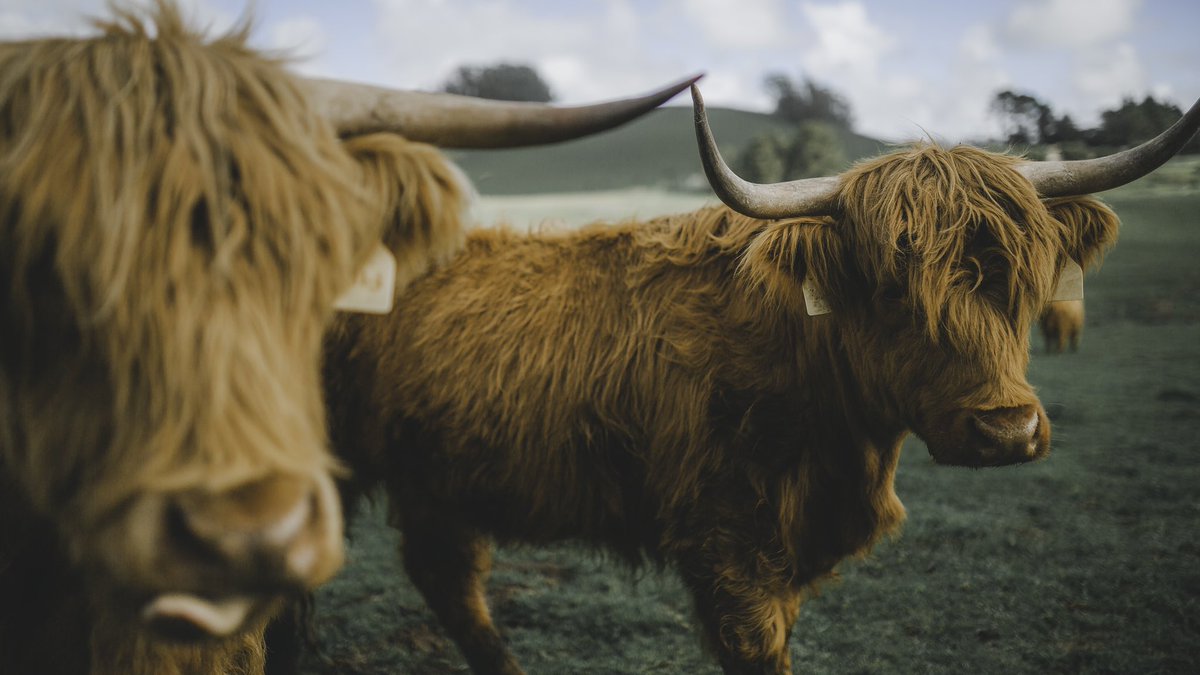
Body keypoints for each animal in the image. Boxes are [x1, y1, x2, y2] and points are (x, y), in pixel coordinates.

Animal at [311, 85, 1200, 674]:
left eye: (1022, 281)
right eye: (890, 287)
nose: (1007, 429)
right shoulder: (729, 545)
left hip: (440, 482)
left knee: (449, 582)